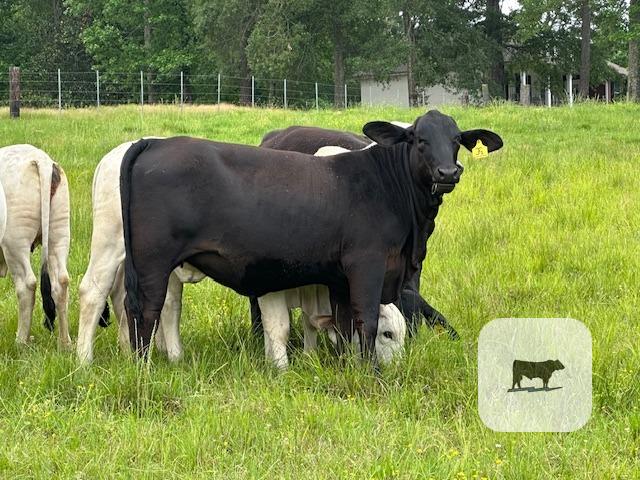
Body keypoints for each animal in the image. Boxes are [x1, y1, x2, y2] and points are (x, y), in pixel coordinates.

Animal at [0, 144, 71, 348]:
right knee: (61, 282)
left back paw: (20, 341)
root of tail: (41, 159)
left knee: (27, 285)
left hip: (14, 243)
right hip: (59, 233)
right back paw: (65, 343)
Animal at [260, 285, 406, 369]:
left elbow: (309, 326)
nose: (396, 368)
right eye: (387, 334)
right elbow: (278, 330)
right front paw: (283, 372)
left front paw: (309, 359)